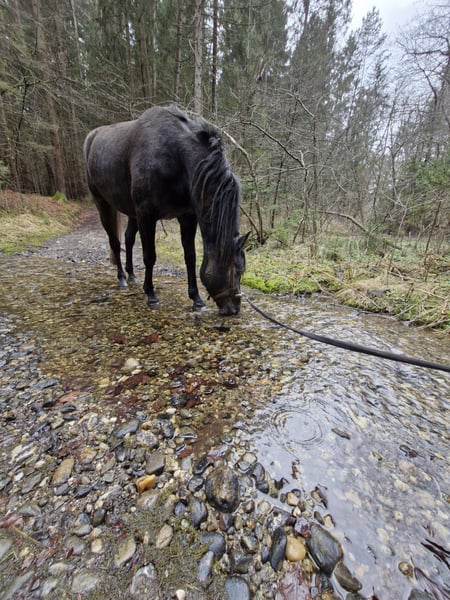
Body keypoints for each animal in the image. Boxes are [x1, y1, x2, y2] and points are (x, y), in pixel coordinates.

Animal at [83, 106, 247, 316]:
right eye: (237, 271)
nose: (234, 308)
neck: (176, 158)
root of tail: (92, 137)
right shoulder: (147, 215)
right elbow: (149, 256)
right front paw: (151, 294)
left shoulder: (187, 216)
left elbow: (190, 257)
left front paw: (196, 298)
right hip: (104, 206)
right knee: (115, 242)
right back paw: (121, 278)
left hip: (132, 213)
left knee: (128, 239)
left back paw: (131, 275)